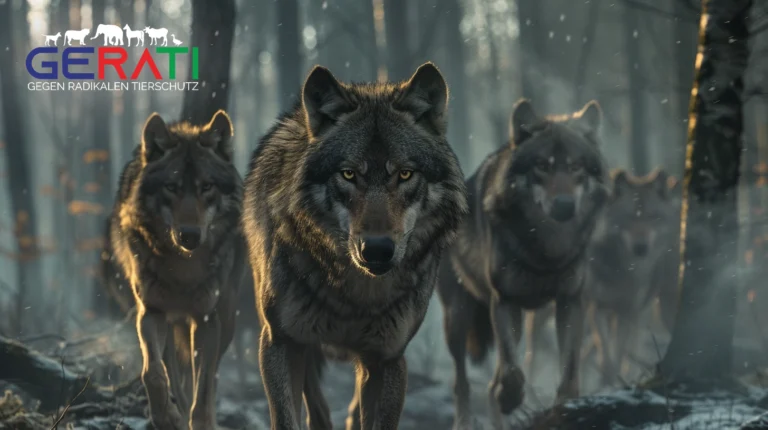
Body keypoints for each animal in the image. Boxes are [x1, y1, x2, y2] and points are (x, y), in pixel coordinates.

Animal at [108, 110, 245, 430]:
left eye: (207, 187)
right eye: (171, 188)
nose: (190, 236)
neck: (184, 268)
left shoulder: (206, 321)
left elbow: (203, 389)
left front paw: (202, 422)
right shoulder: (151, 313)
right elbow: (152, 374)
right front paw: (166, 416)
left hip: (225, 321)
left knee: (210, 376)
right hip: (170, 325)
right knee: (173, 372)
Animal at [242, 62, 468, 430]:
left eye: (405, 174)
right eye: (348, 174)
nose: (376, 249)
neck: (353, 295)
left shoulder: (386, 359)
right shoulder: (280, 341)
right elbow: (287, 418)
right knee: (317, 408)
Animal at [437, 99, 609, 429]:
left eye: (576, 167)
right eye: (542, 165)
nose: (564, 205)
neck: (546, 250)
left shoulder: (570, 301)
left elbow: (569, 371)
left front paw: (567, 408)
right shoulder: (504, 301)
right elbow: (512, 371)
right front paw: (511, 399)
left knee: (489, 386)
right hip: (459, 318)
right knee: (461, 383)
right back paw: (467, 419)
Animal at [585, 168, 680, 385]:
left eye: (653, 217)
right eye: (628, 218)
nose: (640, 247)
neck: (621, 271)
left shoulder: (627, 312)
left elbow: (618, 352)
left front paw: (615, 380)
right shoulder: (596, 307)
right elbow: (605, 350)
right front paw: (607, 379)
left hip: (661, 307)